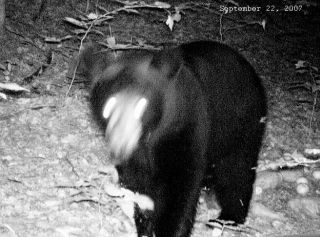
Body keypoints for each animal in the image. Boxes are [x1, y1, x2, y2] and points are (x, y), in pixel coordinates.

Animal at [78, 41, 268, 237]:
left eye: (141, 104)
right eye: (109, 105)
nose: (120, 143)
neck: (150, 139)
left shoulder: (186, 127)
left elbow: (181, 186)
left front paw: (169, 230)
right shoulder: (134, 159)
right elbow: (139, 187)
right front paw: (145, 226)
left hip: (242, 126)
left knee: (237, 171)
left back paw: (227, 218)